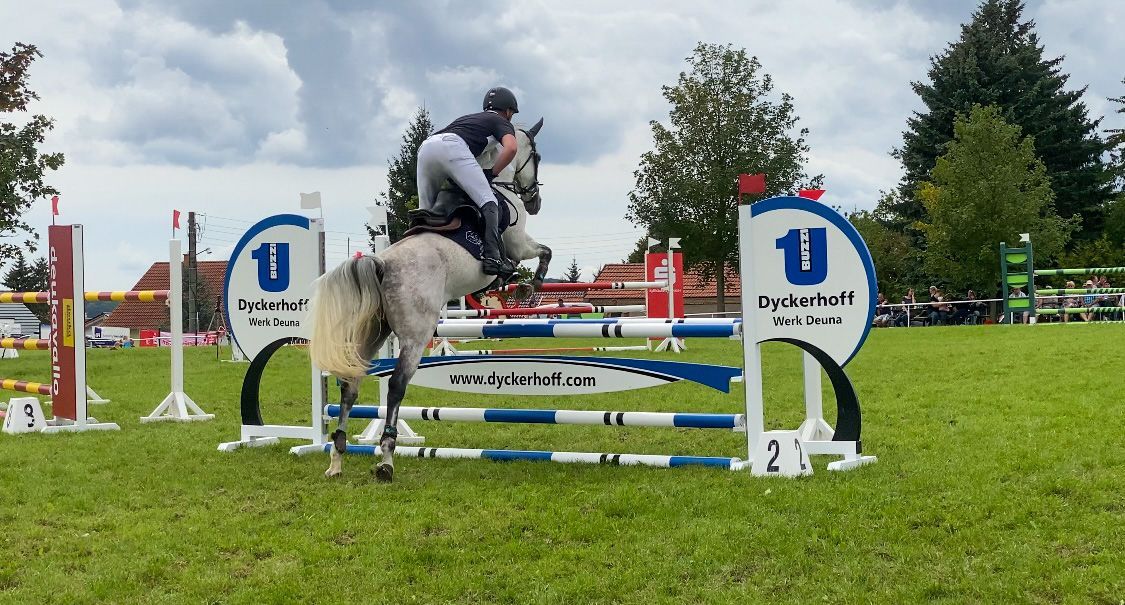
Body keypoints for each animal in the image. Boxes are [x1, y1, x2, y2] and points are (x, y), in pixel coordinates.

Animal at [308, 118, 550, 481]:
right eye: (536, 155)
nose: (534, 201)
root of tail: (382, 262)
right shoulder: (519, 245)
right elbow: (542, 253)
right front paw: (529, 284)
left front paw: (513, 288)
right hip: (415, 335)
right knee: (396, 385)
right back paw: (386, 459)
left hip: (373, 332)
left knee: (350, 384)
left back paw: (337, 458)